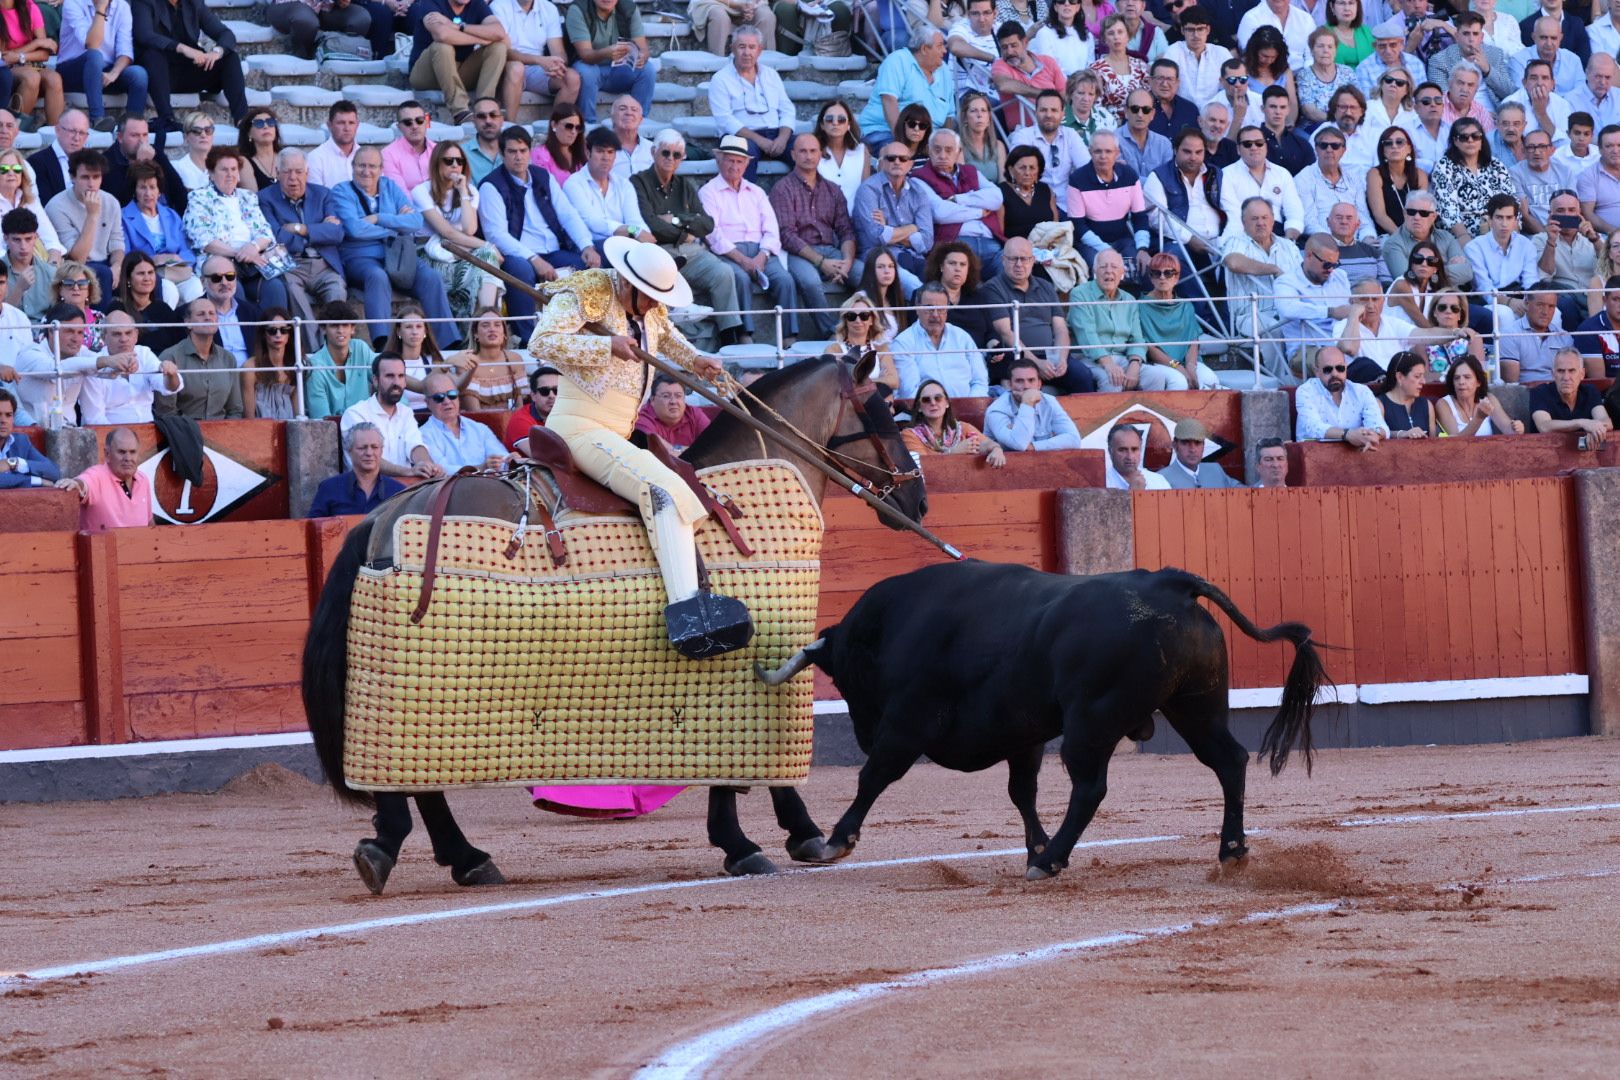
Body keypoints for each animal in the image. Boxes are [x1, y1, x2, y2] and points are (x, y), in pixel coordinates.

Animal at [304, 356, 933, 893]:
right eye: (882, 413)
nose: (920, 500)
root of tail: (388, 511)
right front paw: (775, 840)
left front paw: (766, 838)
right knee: (404, 765)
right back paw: (418, 851)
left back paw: (443, 855)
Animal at [758, 563, 1328, 880]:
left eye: (844, 680)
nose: (860, 732)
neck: (894, 627)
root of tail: (1170, 584)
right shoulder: (1023, 733)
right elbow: (1022, 792)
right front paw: (1032, 842)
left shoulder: (906, 723)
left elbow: (873, 777)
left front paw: (834, 842)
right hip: (1196, 705)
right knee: (1229, 761)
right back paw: (1231, 850)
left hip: (1092, 721)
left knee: (1090, 787)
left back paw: (1052, 860)